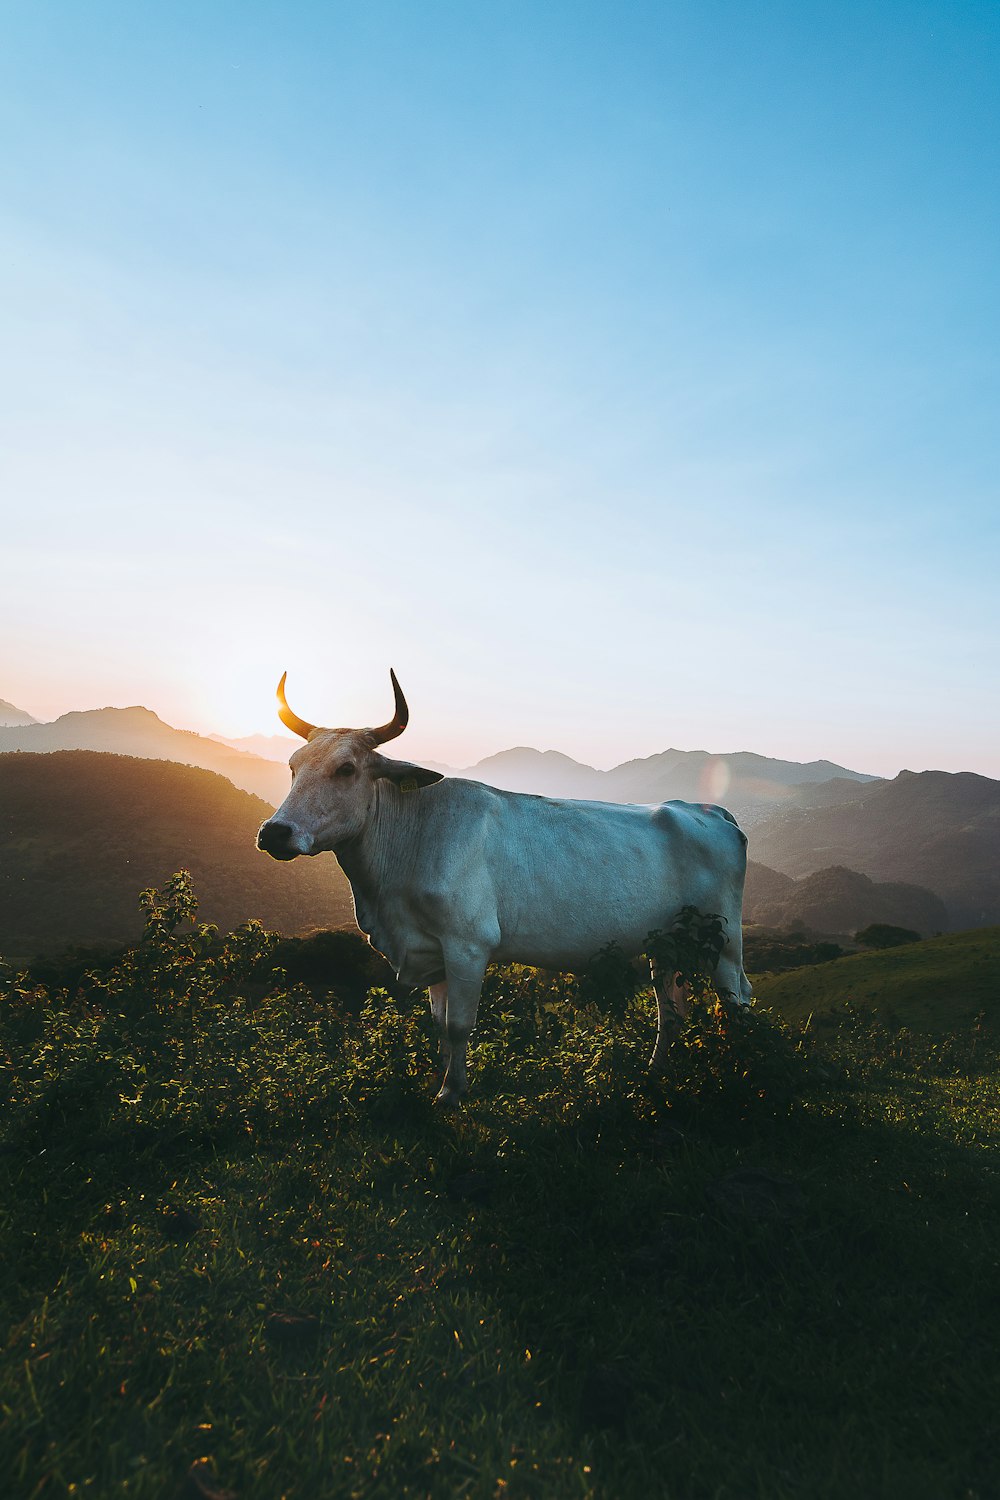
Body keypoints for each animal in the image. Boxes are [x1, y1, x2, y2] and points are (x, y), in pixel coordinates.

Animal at [257, 675, 749, 1110]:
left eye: (346, 768)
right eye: (293, 766)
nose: (274, 832)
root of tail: (706, 810)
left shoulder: (468, 945)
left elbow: (459, 1024)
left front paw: (451, 1093)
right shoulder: (430, 949)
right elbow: (439, 1026)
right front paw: (443, 1080)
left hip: (723, 940)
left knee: (736, 999)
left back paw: (741, 1073)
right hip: (665, 944)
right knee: (671, 1009)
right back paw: (657, 1071)